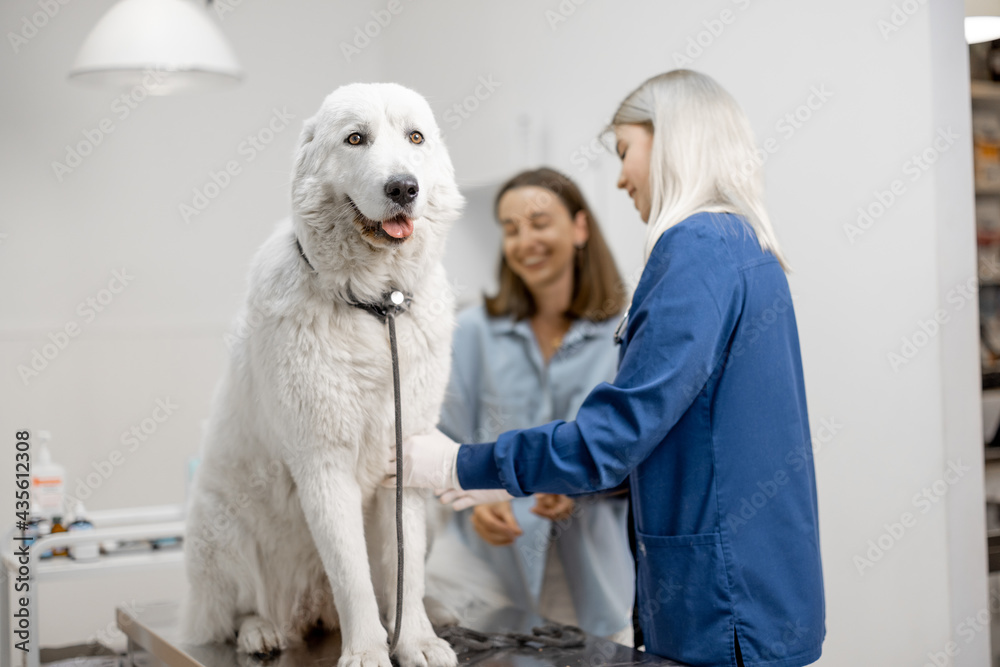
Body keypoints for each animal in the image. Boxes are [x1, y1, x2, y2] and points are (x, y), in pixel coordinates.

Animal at [183, 83, 464, 667]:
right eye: (356, 139)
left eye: (415, 137)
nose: (404, 187)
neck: (374, 306)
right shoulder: (323, 464)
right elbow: (352, 575)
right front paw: (366, 652)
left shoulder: (404, 461)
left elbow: (404, 573)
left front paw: (417, 640)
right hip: (220, 525)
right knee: (234, 608)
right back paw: (259, 631)